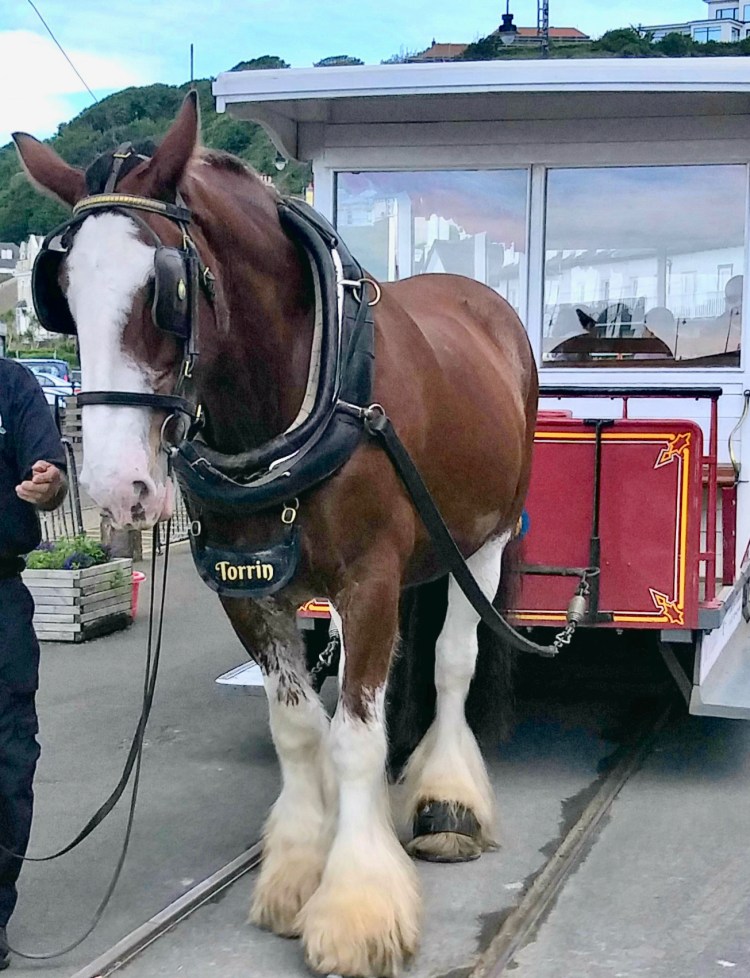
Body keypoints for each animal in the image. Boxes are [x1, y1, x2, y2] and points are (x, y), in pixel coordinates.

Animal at [14, 92, 538, 977]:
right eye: (62, 296)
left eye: (165, 291)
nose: (117, 488)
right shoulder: (248, 587)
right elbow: (299, 730)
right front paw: (299, 871)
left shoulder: (367, 580)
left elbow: (353, 738)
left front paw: (357, 906)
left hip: (484, 541)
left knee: (453, 662)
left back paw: (445, 802)